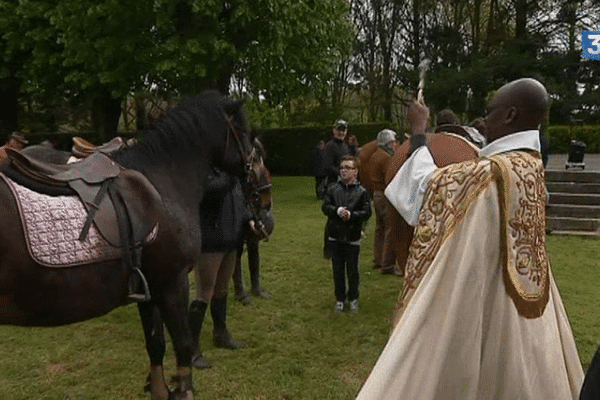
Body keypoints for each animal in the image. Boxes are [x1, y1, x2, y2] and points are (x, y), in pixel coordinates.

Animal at [0, 91, 255, 400]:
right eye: (244, 131)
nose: (254, 171)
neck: (161, 180)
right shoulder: (173, 282)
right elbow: (182, 346)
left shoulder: (148, 288)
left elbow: (156, 344)